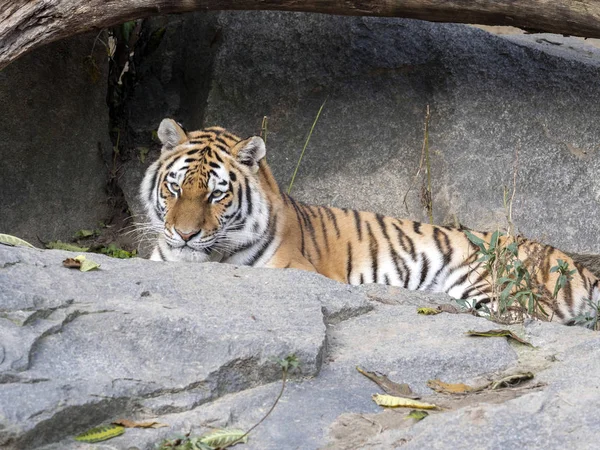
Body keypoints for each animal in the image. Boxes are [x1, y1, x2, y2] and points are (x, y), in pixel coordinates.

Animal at [139, 118, 600, 326]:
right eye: (175, 188)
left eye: (216, 194)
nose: (185, 235)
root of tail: (574, 263)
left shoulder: (291, 269)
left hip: (491, 287)